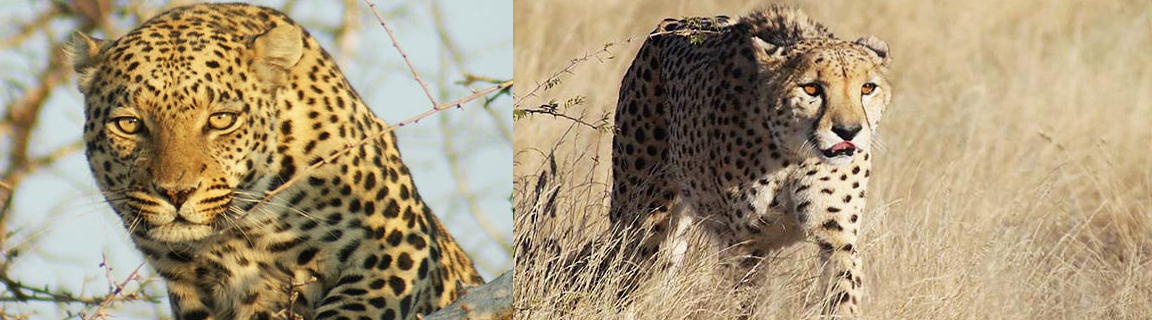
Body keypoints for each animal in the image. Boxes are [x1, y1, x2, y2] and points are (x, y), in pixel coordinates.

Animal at [63, 3, 486, 320]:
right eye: (129, 124)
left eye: (221, 119)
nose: (176, 193)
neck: (239, 235)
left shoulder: (395, 245)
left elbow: (352, 309)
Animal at [612, 5, 889, 317]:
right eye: (811, 89)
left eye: (867, 88)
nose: (848, 131)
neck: (793, 155)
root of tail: (670, 25)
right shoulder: (745, 245)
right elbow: (749, 300)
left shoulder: (837, 235)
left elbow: (843, 290)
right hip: (641, 214)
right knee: (628, 270)